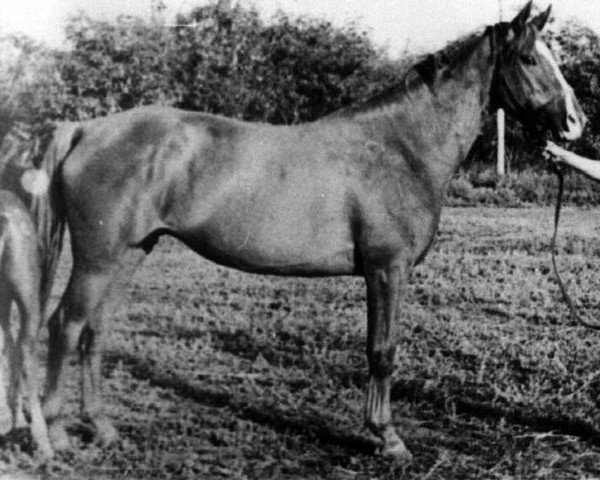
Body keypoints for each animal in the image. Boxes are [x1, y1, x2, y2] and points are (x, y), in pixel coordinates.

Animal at [29, 1, 584, 462]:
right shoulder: (387, 270)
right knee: (67, 325)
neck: (401, 146)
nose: (576, 124)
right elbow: (382, 351)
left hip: (131, 253)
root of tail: (86, 129)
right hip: (99, 258)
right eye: (530, 59)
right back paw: (56, 433)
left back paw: (101, 428)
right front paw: (388, 439)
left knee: (96, 331)